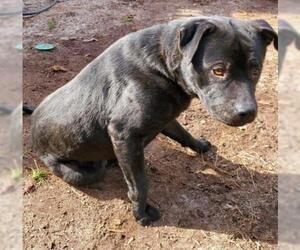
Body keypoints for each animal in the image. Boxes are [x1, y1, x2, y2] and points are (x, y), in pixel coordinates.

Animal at [29, 16, 278, 226]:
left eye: (256, 69)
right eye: (218, 70)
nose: (247, 112)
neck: (162, 63)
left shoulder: (165, 116)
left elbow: (183, 133)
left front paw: (199, 145)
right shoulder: (125, 134)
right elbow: (139, 183)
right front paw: (141, 213)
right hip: (76, 170)